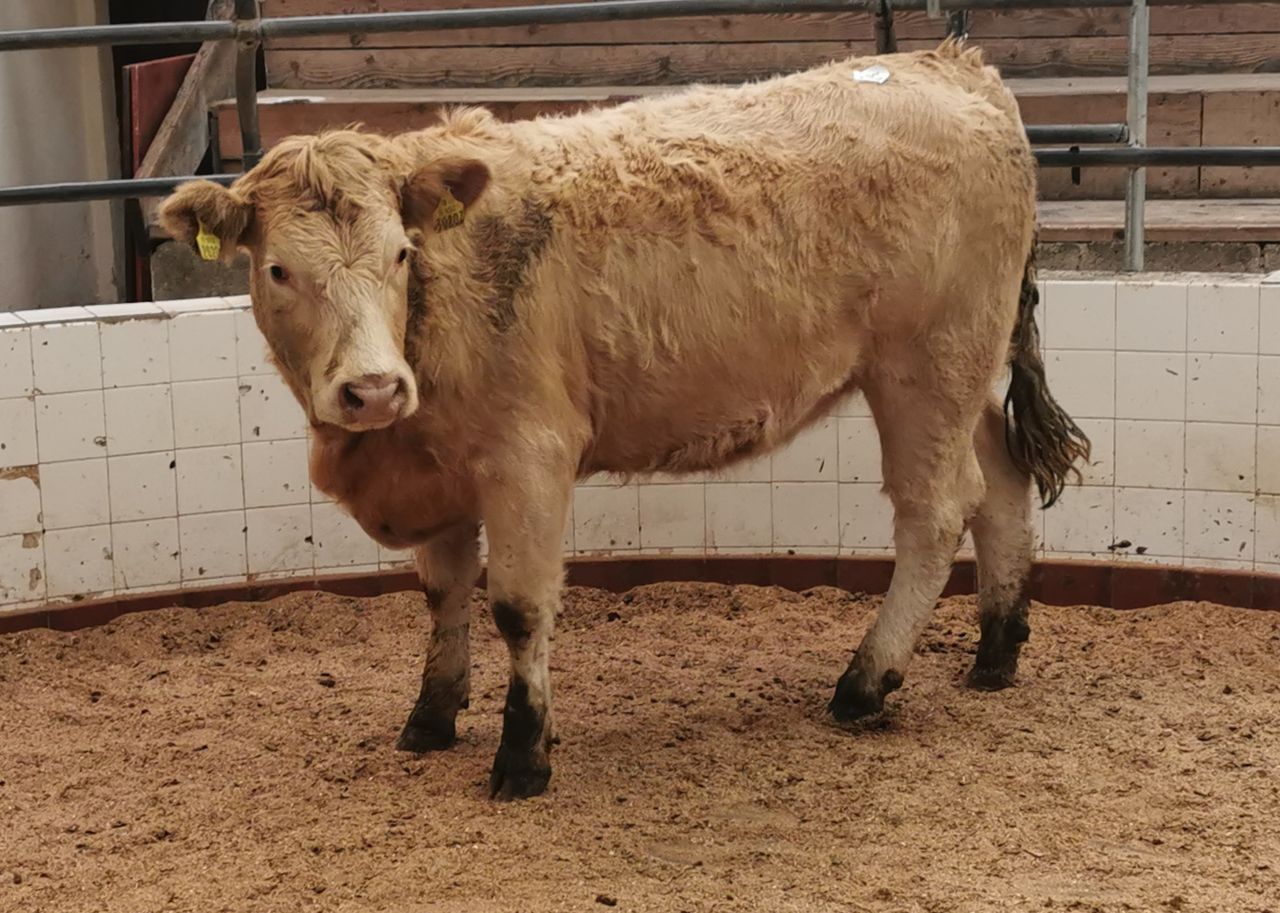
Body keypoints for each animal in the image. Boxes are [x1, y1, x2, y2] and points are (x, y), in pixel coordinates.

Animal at [160, 41, 1089, 800]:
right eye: (278, 270)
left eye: (399, 253)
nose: (375, 389)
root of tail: (950, 64)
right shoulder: (435, 466)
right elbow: (443, 592)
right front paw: (430, 716)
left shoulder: (527, 458)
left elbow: (517, 606)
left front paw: (523, 755)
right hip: (964, 369)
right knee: (999, 481)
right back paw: (997, 648)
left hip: (924, 368)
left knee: (936, 509)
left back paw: (865, 681)